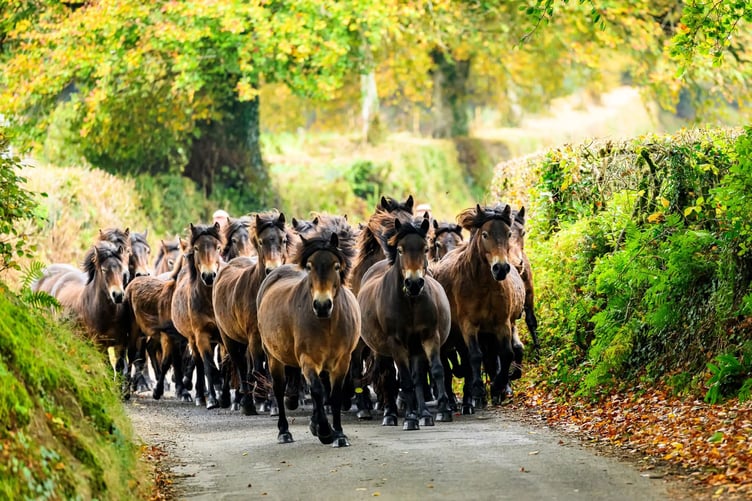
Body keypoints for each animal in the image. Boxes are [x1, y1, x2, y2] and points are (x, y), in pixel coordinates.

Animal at [170, 223, 224, 409]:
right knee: (200, 364)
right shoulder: (201, 335)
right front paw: (213, 400)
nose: (209, 276)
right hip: (193, 339)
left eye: (218, 247)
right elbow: (208, 367)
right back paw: (201, 396)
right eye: (196, 248)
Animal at [212, 210, 293, 415]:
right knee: (240, 366)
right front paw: (258, 403)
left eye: (283, 240)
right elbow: (257, 370)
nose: (272, 269)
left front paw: (273, 404)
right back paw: (244, 402)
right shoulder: (255, 337)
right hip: (229, 338)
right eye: (262, 241)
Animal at [256, 217, 360, 447]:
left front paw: (339, 434)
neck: (328, 324)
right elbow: (318, 391)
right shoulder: (307, 359)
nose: (322, 305)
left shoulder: (343, 361)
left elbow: (334, 395)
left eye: (336, 266)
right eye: (310, 266)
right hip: (274, 357)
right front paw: (325, 431)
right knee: (279, 389)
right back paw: (284, 432)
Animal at [357, 214, 453, 429]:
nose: (414, 283)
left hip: (414, 348)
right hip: (381, 349)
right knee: (387, 377)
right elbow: (405, 380)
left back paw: (422, 413)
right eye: (400, 250)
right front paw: (409, 419)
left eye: (425, 249)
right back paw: (390, 414)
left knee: (416, 378)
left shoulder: (429, 337)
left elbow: (435, 371)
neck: (411, 303)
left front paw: (440, 412)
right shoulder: (396, 343)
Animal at [430, 204, 524, 413]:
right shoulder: (468, 325)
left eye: (508, 233)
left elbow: (506, 354)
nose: (501, 268)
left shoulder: (502, 324)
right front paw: (479, 390)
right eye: (485, 235)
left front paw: (497, 387)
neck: (483, 285)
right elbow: (475, 356)